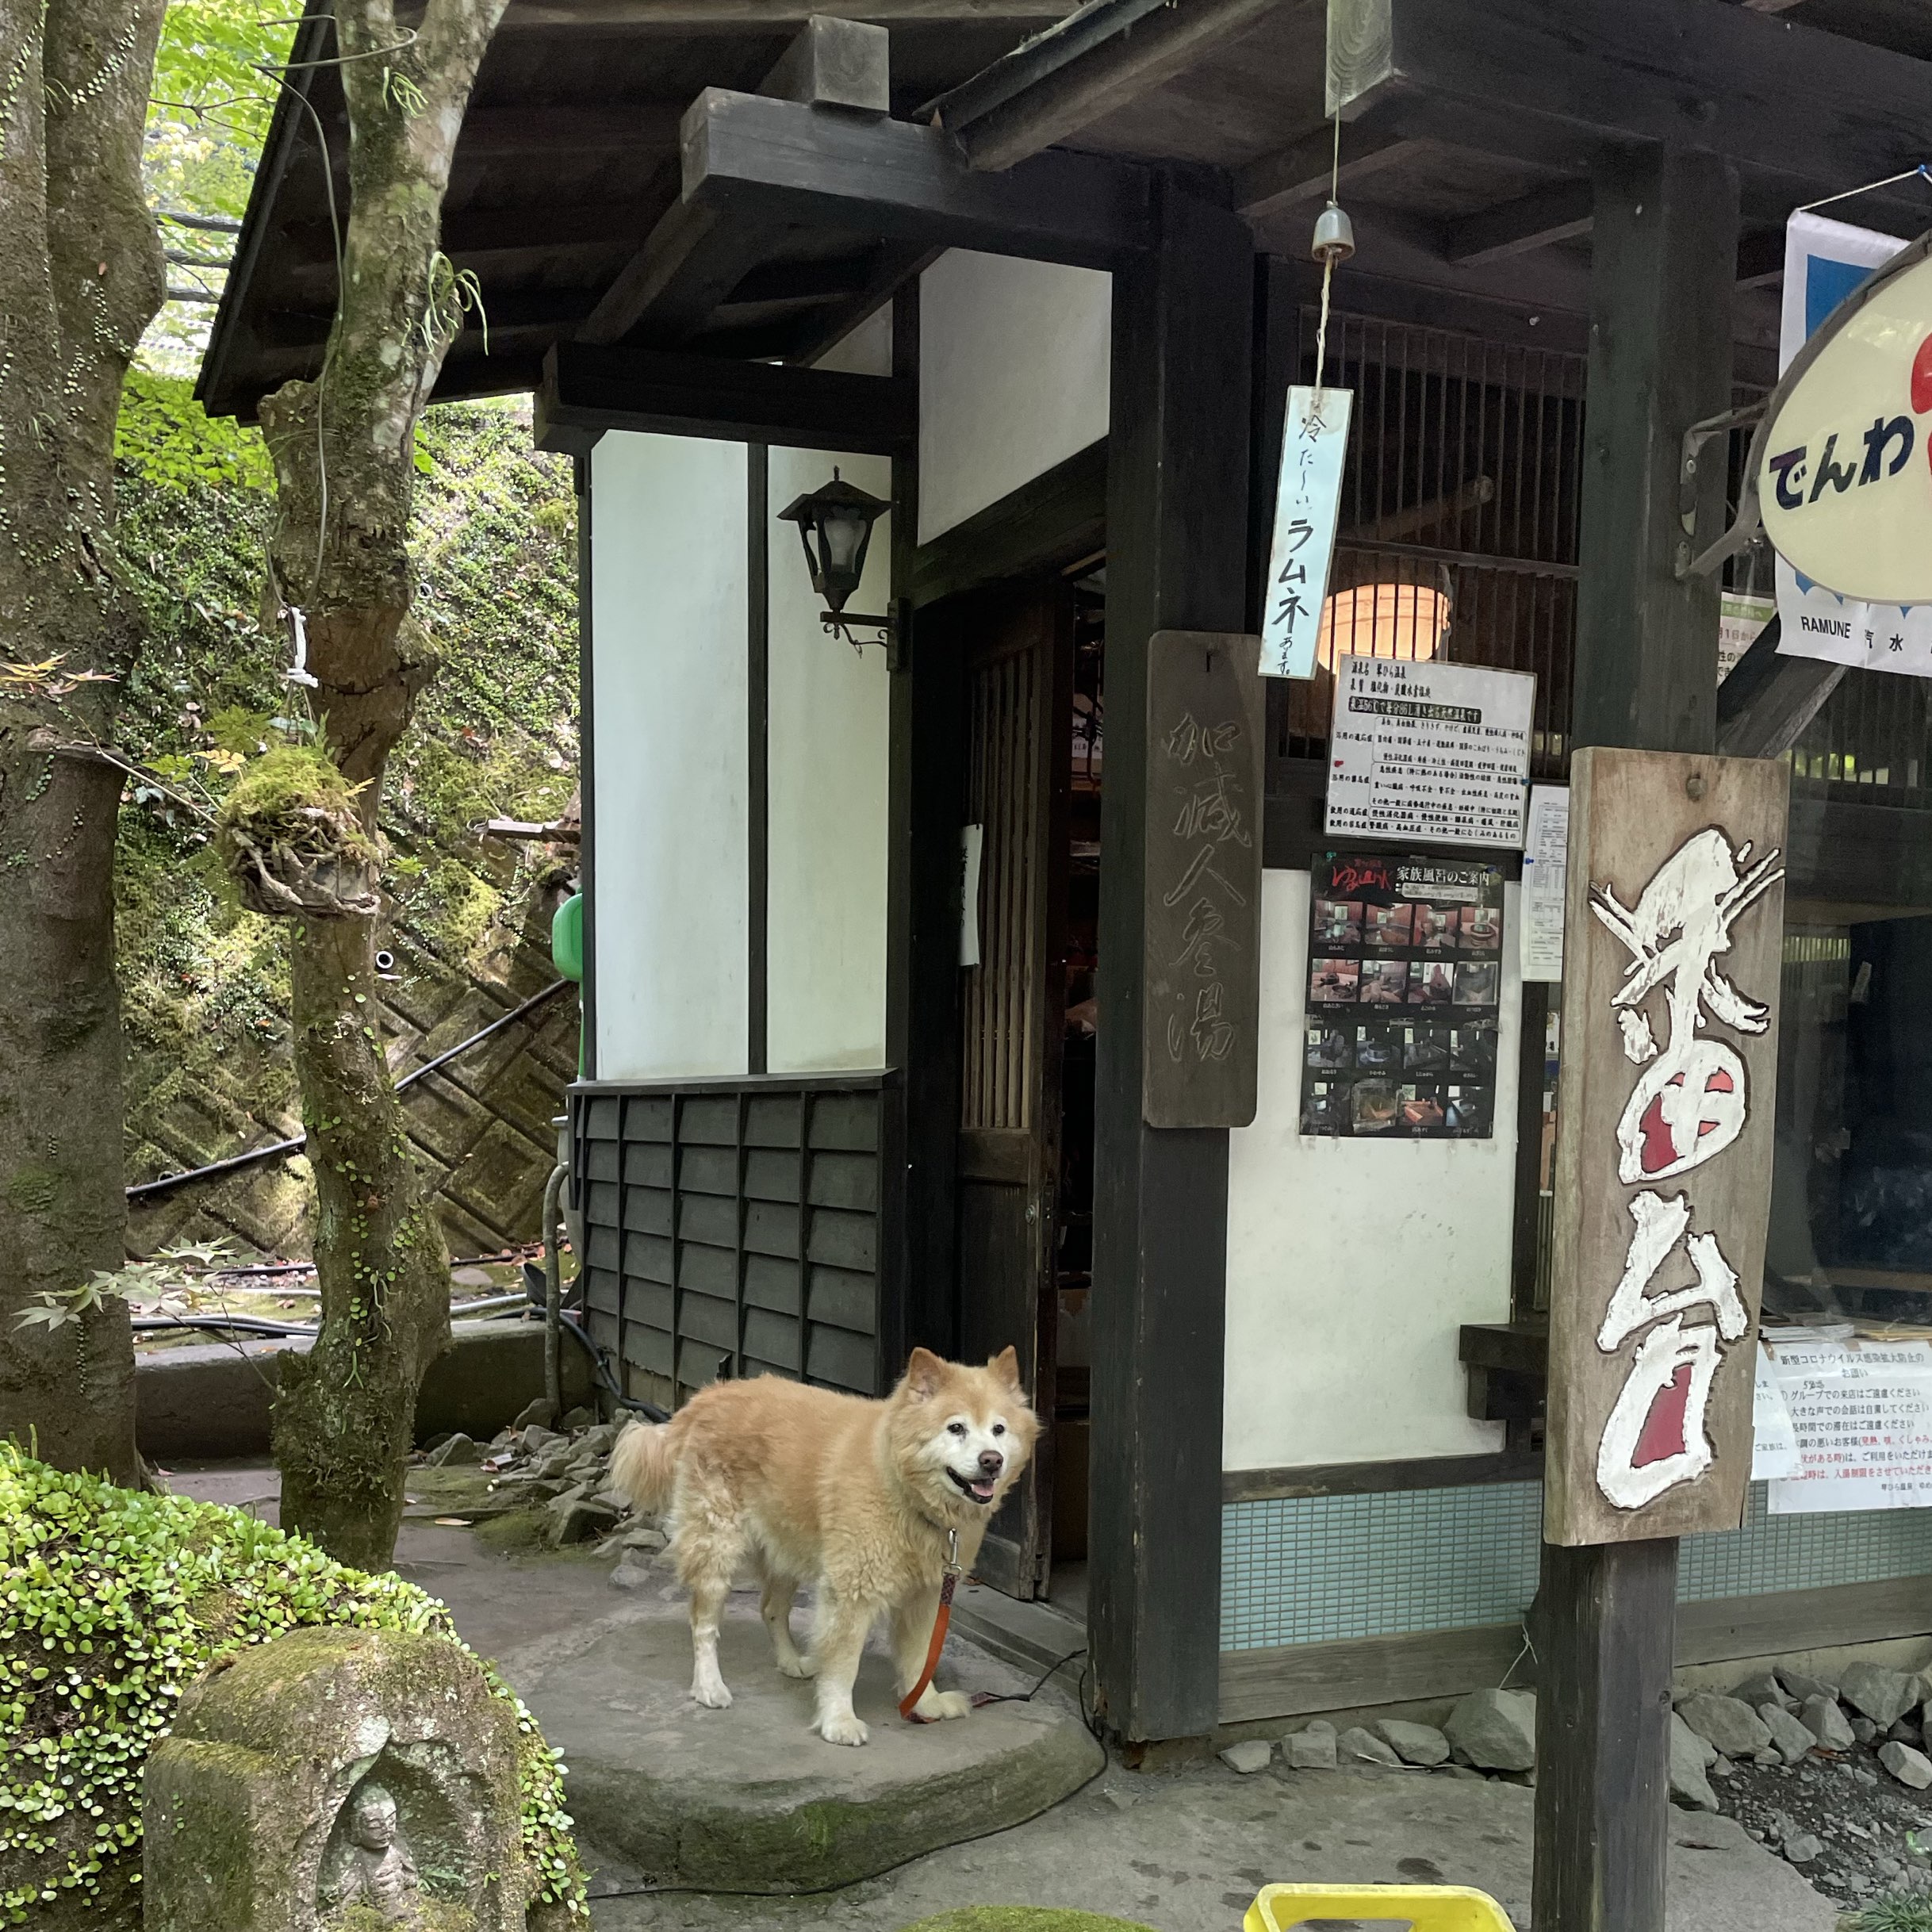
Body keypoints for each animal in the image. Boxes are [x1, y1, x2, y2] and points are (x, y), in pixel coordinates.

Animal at [614, 1344, 1043, 1754]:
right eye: (956, 1428)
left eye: (999, 1429)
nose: (992, 1461)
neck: (903, 1491)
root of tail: (706, 1397)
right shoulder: (852, 1591)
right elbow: (844, 1664)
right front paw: (839, 1722)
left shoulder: (927, 1594)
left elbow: (920, 1657)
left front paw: (925, 1704)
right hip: (716, 1548)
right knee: (703, 1624)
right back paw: (709, 1686)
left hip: (785, 1549)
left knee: (770, 1609)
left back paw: (791, 1662)